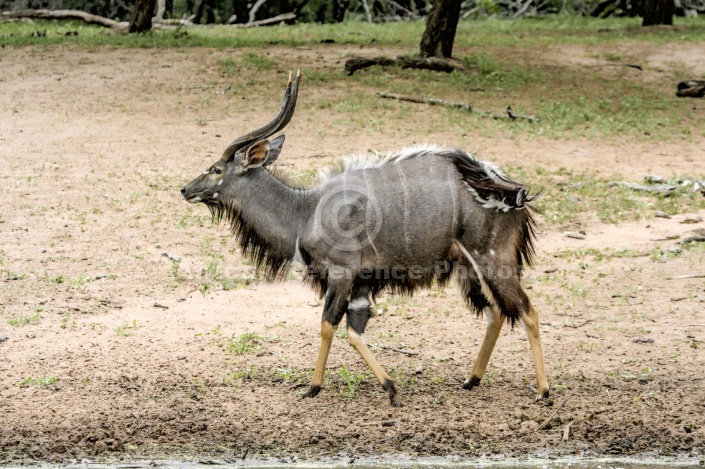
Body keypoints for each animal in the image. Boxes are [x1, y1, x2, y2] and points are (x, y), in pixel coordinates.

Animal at [182, 70, 552, 406]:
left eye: (216, 169)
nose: (185, 189)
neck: (305, 211)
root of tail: (510, 190)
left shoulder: (342, 273)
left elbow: (328, 324)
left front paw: (313, 387)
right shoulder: (361, 283)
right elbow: (354, 330)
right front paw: (391, 388)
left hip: (493, 260)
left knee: (528, 311)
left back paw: (543, 391)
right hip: (469, 268)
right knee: (497, 312)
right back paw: (471, 380)